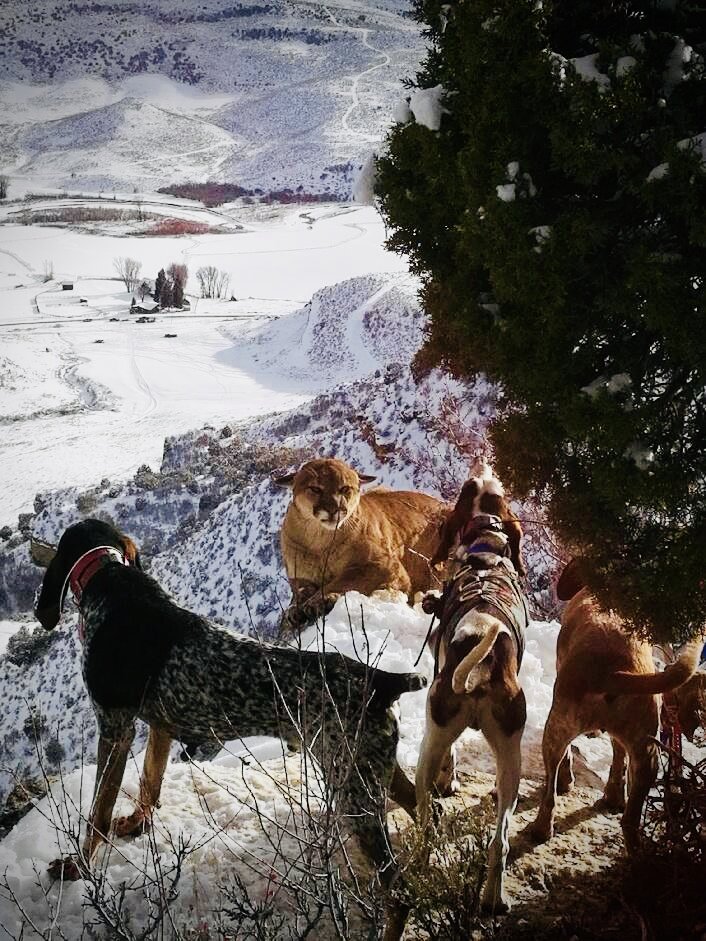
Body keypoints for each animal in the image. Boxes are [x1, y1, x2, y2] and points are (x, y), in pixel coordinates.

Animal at [532, 560, 700, 852]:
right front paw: (613, 795)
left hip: (555, 730)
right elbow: (618, 758)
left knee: (550, 790)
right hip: (647, 754)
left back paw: (541, 829)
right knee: (630, 818)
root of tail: (613, 672)